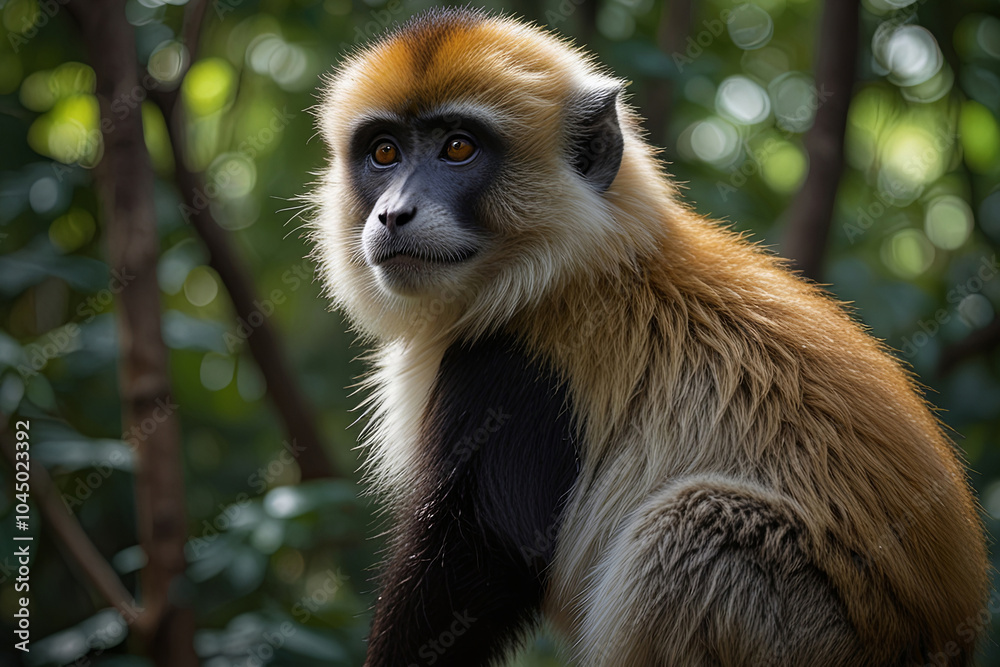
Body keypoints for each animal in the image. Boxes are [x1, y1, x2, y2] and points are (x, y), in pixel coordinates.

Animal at [308, 8, 989, 666]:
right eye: (385, 154)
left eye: (457, 148)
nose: (392, 214)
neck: (564, 268)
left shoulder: (508, 372)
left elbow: (478, 568)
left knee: (691, 526)